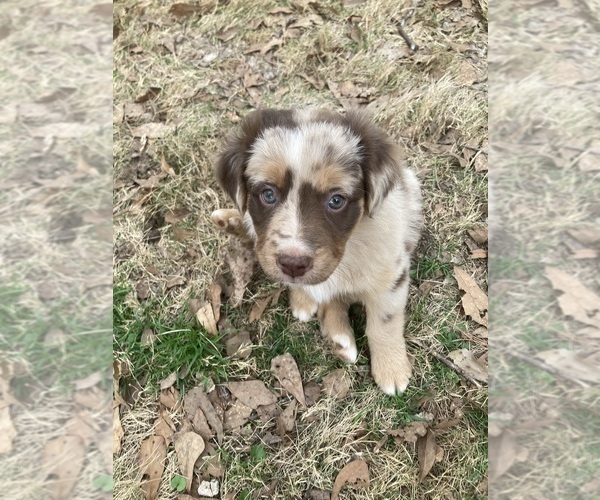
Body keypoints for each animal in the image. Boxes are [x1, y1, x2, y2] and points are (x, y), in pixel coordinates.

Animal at [211, 108, 422, 394]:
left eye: (336, 200)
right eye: (268, 194)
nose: (293, 263)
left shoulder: (391, 273)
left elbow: (383, 322)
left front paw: (392, 370)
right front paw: (303, 298)